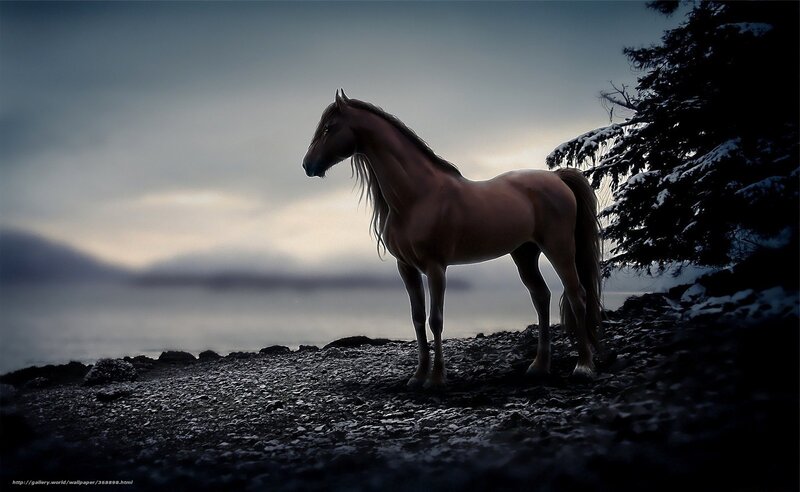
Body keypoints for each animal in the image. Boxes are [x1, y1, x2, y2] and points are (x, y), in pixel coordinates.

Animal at [302, 90, 602, 388]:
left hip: (559, 248)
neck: (418, 196)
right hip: (524, 254)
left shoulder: (436, 267)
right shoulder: (406, 268)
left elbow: (436, 320)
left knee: (577, 295)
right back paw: (539, 366)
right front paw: (418, 376)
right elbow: (417, 318)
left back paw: (583, 366)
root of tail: (557, 178)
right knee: (541, 297)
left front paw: (436, 378)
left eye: (329, 128)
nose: (307, 165)